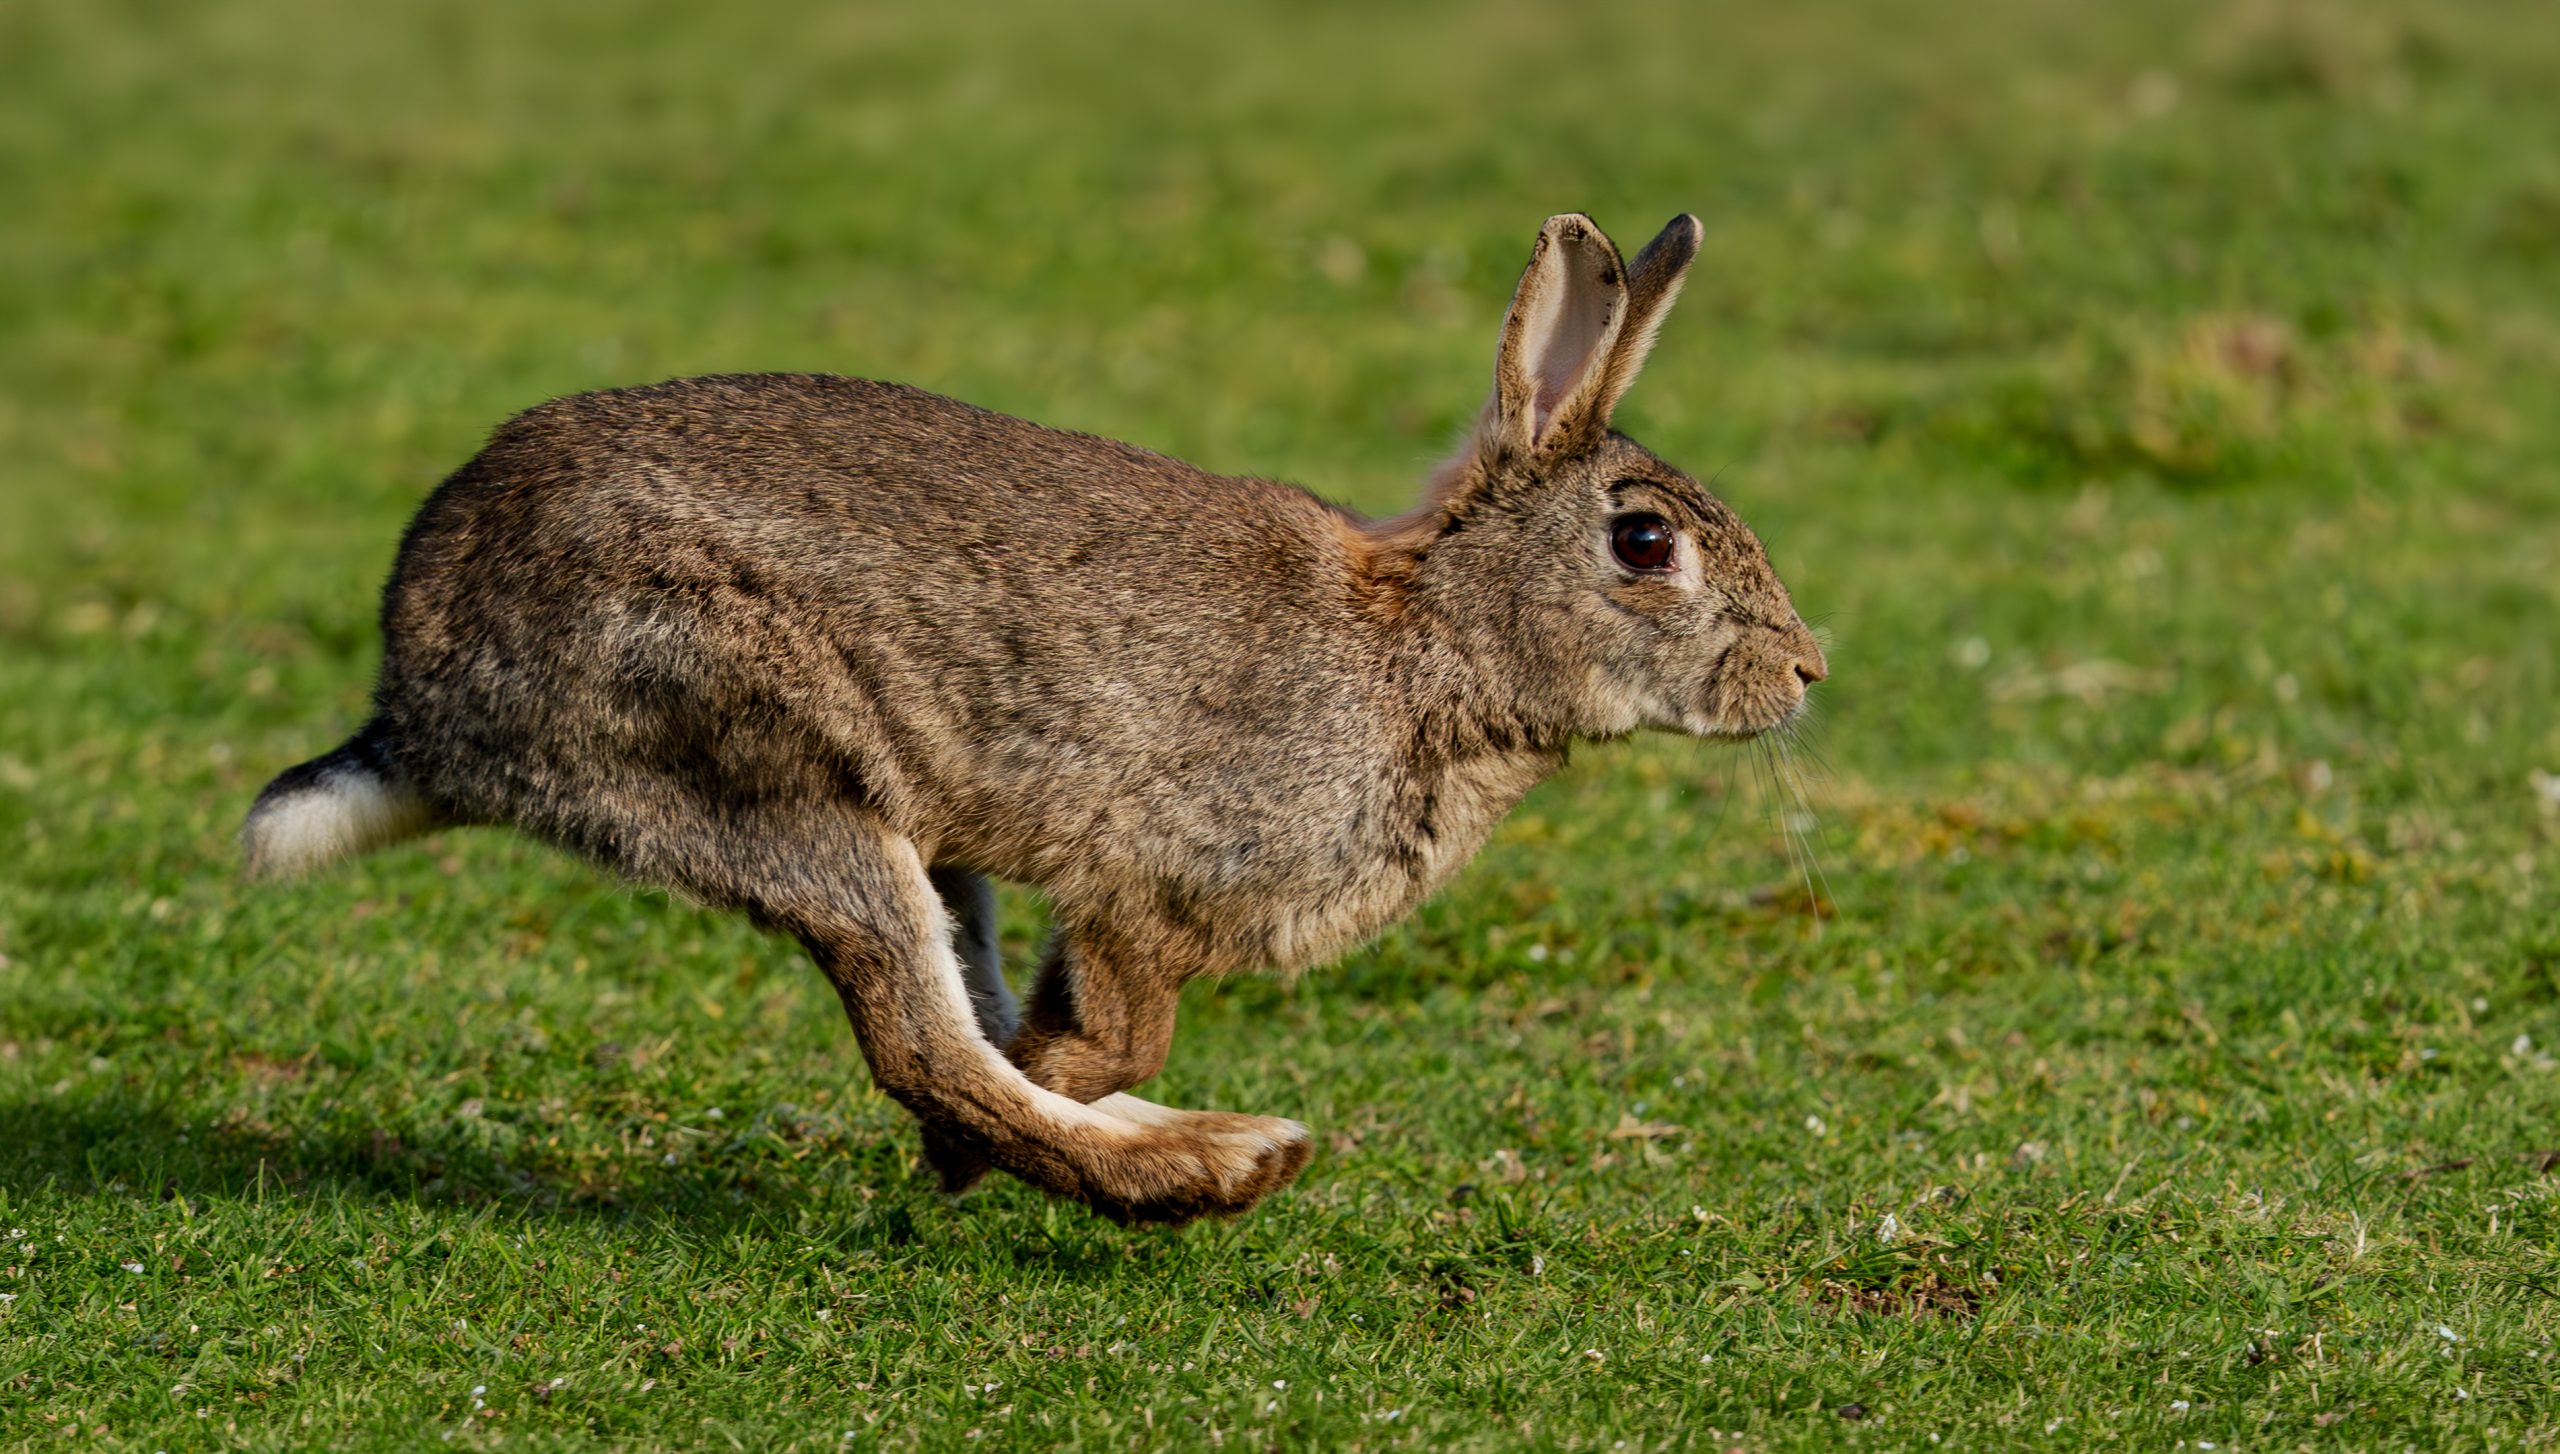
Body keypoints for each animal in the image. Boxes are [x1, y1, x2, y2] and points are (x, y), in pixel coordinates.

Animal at [240, 212, 1827, 1225]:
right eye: (1643, 543)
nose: (1806, 671)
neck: (1433, 641)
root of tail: (418, 700)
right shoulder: (1151, 878)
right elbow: (1106, 1031)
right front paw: (1003, 1139)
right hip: (761, 766)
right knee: (926, 1040)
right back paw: (1206, 1169)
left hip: (914, 840)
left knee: (964, 1016)